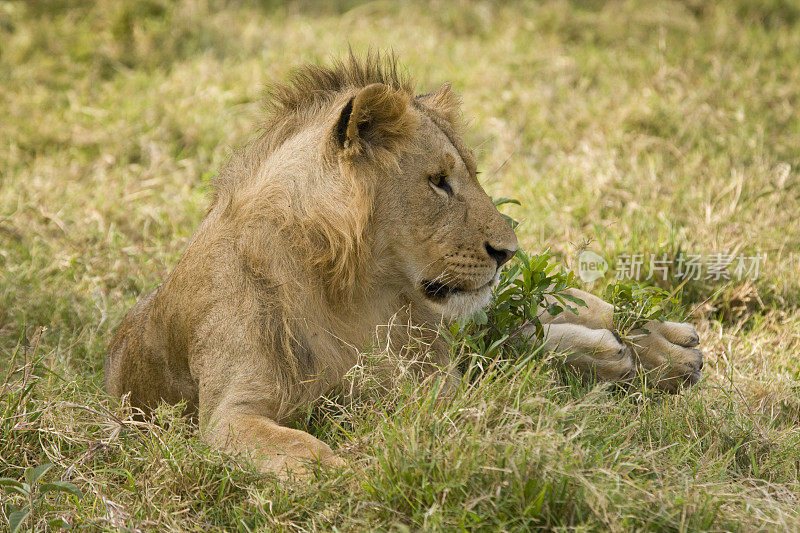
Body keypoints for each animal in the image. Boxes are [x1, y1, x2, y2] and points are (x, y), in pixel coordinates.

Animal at [104, 53, 700, 478]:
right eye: (438, 181)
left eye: (470, 175)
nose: (507, 252)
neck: (350, 290)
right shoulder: (230, 411)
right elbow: (306, 455)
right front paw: (354, 476)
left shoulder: (428, 375)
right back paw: (631, 355)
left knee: (547, 316)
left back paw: (667, 346)